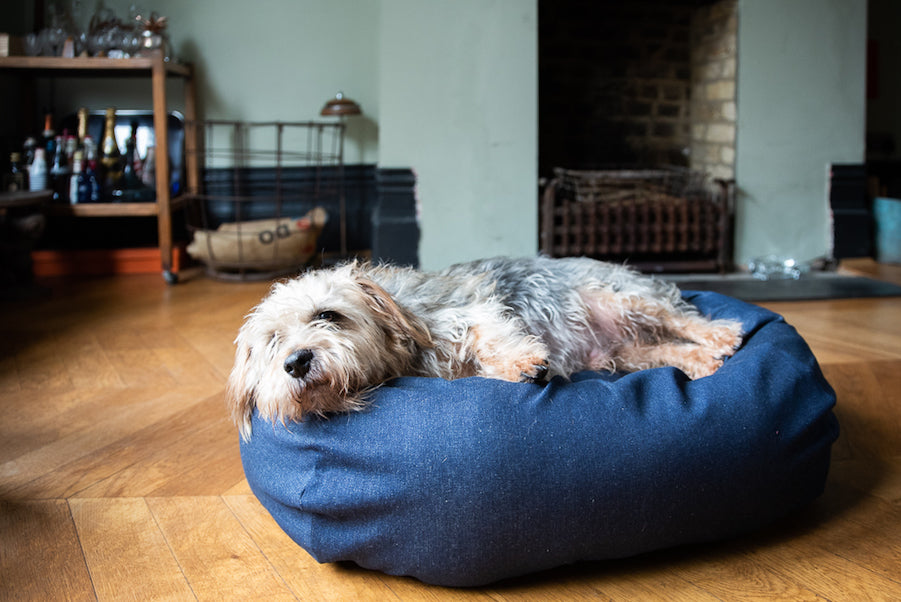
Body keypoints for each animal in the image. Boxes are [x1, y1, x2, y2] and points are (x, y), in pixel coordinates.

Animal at [229, 255, 740, 438]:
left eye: (328, 316)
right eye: (272, 343)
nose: (296, 362)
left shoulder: (471, 313)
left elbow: (493, 338)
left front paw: (526, 363)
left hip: (622, 298)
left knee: (685, 320)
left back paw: (725, 335)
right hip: (626, 353)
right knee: (669, 349)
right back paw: (706, 360)